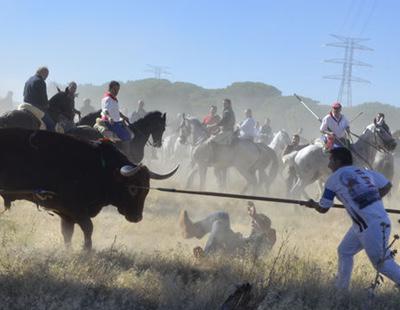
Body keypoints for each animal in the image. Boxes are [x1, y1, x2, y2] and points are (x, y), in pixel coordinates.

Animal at [0, 128, 177, 249]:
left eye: (147, 189)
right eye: (132, 188)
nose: (137, 218)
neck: (99, 168)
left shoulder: (66, 214)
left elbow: (67, 233)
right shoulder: (75, 210)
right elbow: (88, 228)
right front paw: (87, 250)